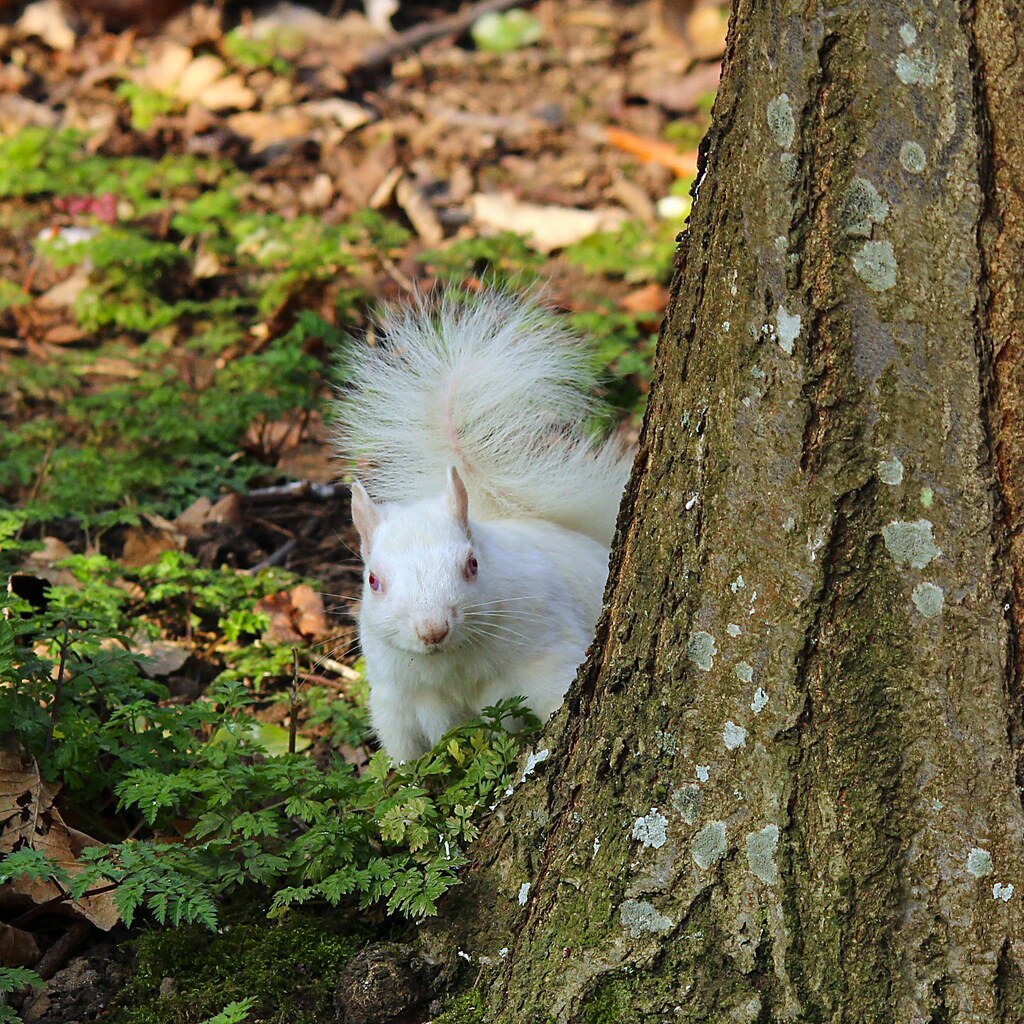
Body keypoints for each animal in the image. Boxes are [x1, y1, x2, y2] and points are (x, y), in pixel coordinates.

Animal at [334, 290, 633, 761]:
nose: (432, 630)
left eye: (472, 565)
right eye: (373, 581)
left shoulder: (550, 659)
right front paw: (399, 776)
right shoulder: (396, 701)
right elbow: (404, 755)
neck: (451, 661)